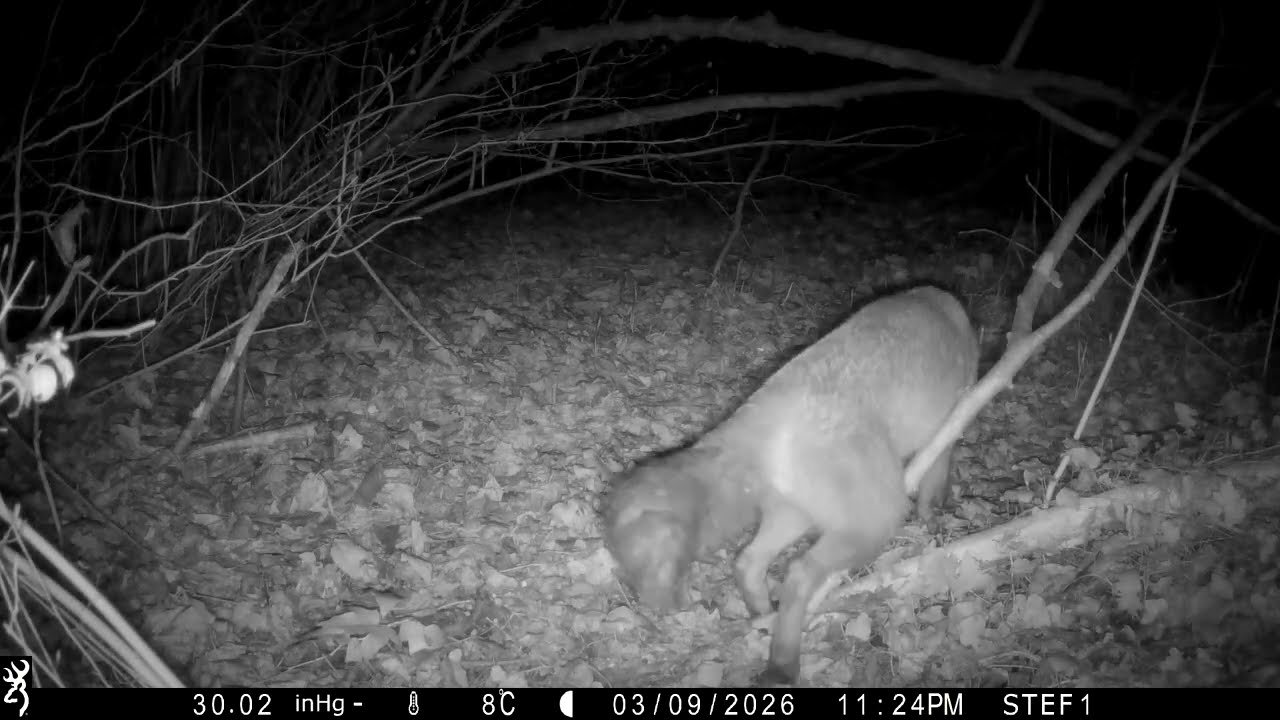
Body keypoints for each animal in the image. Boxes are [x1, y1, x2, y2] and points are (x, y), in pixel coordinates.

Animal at [603, 285, 979, 685]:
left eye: (641, 560)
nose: (656, 611)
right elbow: (936, 475)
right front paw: (932, 518)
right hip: (864, 516)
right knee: (791, 571)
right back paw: (782, 663)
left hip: (805, 514)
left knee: (752, 562)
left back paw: (763, 623)